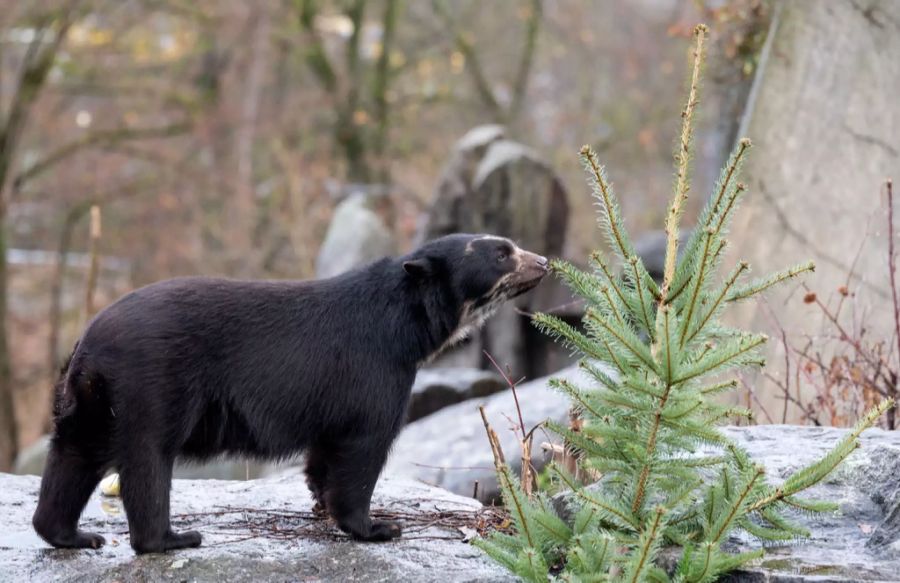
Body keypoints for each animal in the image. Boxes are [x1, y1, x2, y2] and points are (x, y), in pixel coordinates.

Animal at [31, 233, 548, 552]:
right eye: (502, 253)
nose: (543, 262)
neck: (409, 323)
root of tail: (89, 343)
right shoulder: (376, 373)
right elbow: (364, 447)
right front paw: (377, 526)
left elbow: (324, 453)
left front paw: (321, 503)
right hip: (151, 384)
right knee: (147, 457)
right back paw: (172, 539)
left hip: (92, 402)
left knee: (73, 456)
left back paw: (71, 535)